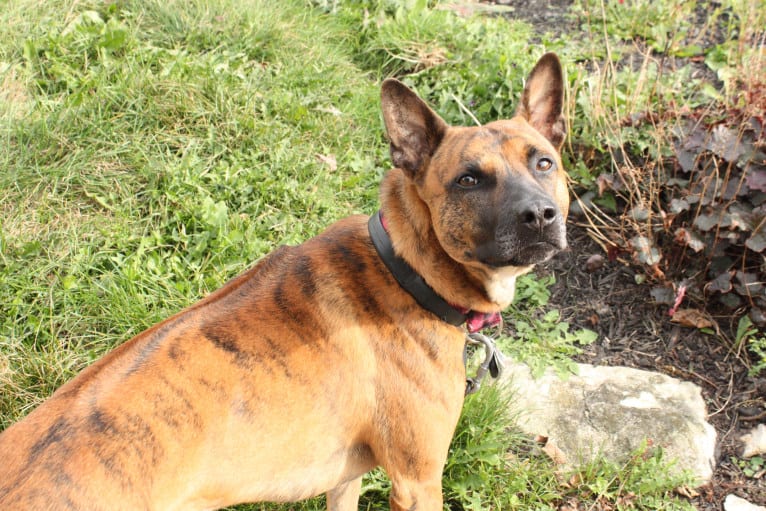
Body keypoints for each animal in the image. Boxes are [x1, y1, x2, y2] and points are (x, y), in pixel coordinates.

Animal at [0, 53, 568, 511]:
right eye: (468, 179)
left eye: (544, 162)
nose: (539, 216)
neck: (406, 270)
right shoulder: (417, 481)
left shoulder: (346, 479)